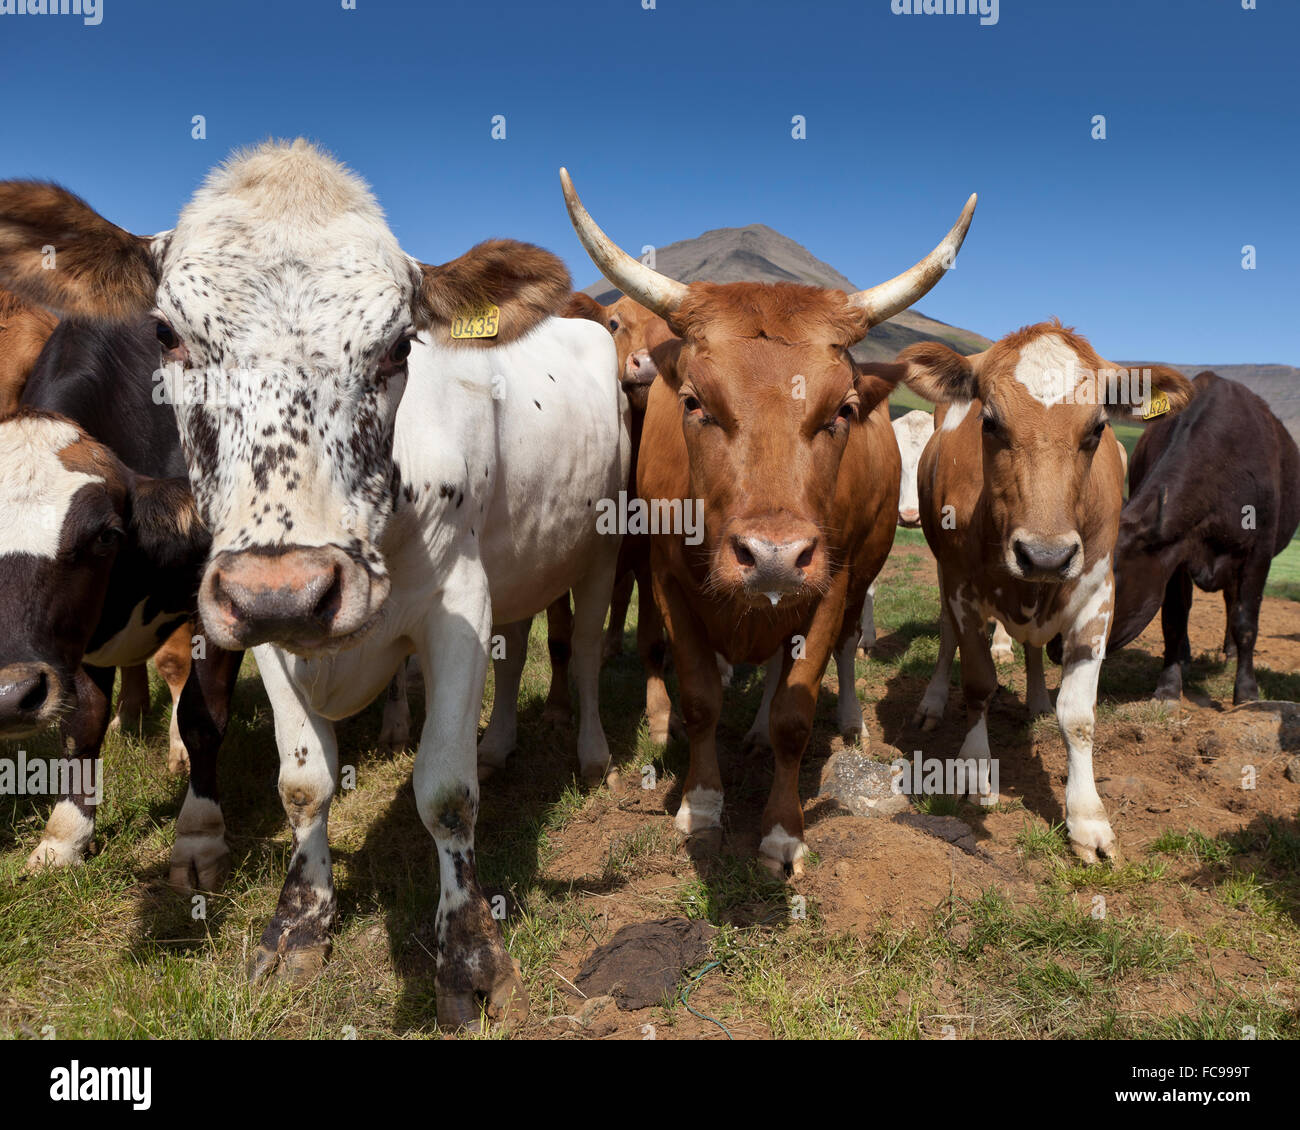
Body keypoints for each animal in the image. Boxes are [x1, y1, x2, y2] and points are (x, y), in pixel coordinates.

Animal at [1, 317, 240, 884]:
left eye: (105, 536)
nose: (10, 695)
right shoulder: (74, 640)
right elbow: (82, 721)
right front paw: (65, 836)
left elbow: (201, 714)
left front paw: (199, 839)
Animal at [559, 165, 977, 873]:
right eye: (694, 402)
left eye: (842, 410)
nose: (774, 555)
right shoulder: (669, 580)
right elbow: (700, 698)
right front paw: (700, 806)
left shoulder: (829, 586)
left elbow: (793, 713)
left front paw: (782, 832)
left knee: (828, 657)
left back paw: (844, 722)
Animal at [889, 326, 1190, 863]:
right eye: (989, 421)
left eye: (1096, 429)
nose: (1045, 556)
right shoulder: (963, 590)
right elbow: (978, 683)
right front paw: (974, 769)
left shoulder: (1097, 597)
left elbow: (1080, 716)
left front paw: (1087, 817)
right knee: (947, 639)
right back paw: (933, 702)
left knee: (1032, 648)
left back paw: (1036, 700)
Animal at [1107, 374, 1300, 702]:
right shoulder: (1173, 555)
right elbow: (1174, 617)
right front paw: (1169, 686)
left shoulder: (1258, 553)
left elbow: (1246, 622)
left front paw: (1247, 691)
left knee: (1232, 601)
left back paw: (1230, 651)